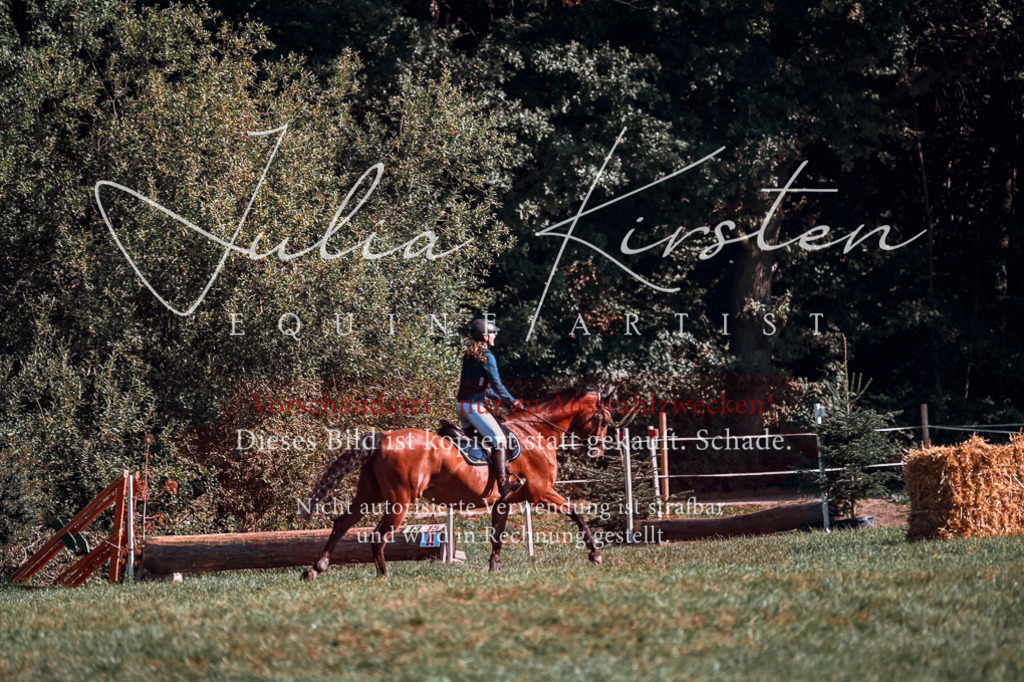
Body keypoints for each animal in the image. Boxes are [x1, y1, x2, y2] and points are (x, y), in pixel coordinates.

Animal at [299, 386, 617, 578]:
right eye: (604, 420)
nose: (598, 453)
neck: (536, 433)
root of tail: (385, 437)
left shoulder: (504, 502)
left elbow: (497, 534)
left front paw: (494, 568)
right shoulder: (542, 493)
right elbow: (576, 512)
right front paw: (595, 553)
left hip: (370, 494)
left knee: (342, 523)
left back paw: (316, 568)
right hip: (401, 500)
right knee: (379, 535)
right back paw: (384, 576)